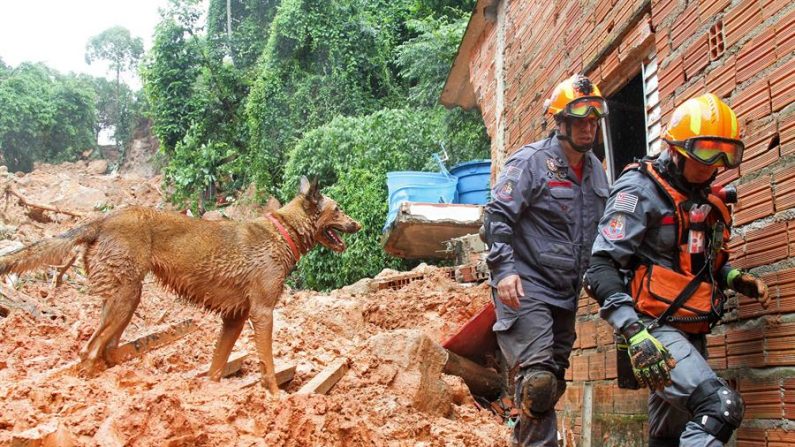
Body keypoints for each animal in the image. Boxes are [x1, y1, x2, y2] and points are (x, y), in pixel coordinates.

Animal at [0, 177, 360, 394]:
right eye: (339, 210)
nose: (360, 223)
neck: (283, 233)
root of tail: (103, 219)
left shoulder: (235, 318)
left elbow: (216, 367)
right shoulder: (262, 313)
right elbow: (268, 365)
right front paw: (276, 397)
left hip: (125, 301)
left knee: (106, 350)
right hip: (126, 297)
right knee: (89, 351)